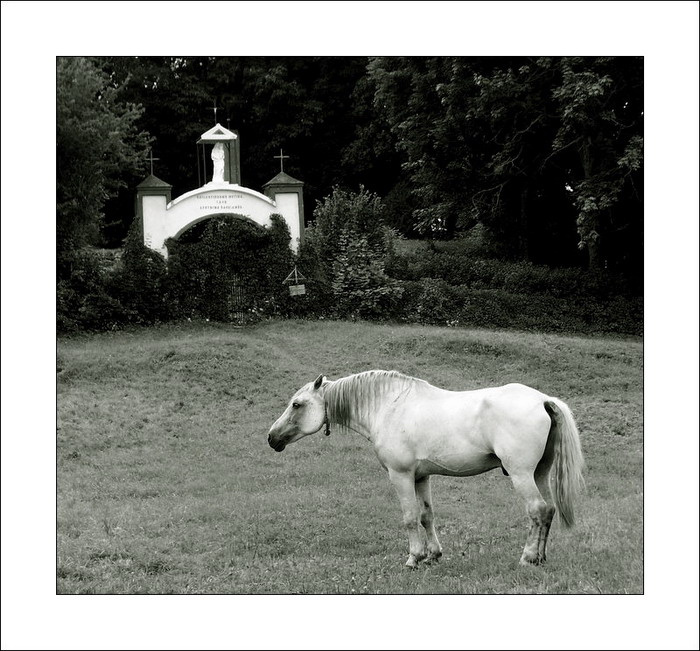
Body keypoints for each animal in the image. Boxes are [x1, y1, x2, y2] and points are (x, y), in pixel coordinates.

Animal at [267, 370, 585, 568]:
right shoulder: (421, 477)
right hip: (539, 473)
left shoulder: (401, 476)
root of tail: (543, 400)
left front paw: (414, 558)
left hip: (521, 475)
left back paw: (527, 558)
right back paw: (541, 558)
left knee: (537, 511)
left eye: (297, 404)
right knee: (549, 511)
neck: (389, 406)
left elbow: (409, 518)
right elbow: (426, 516)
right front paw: (433, 555)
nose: (272, 438)